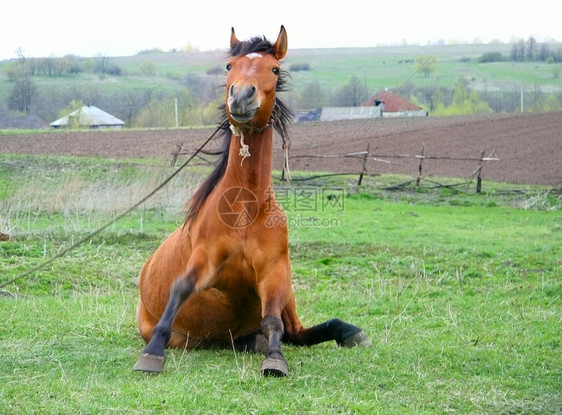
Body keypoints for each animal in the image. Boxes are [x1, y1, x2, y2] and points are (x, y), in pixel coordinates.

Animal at [131, 26, 368, 376]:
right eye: (230, 66)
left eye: (275, 69)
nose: (241, 96)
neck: (244, 210)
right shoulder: (204, 261)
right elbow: (180, 289)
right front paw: (152, 353)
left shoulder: (275, 271)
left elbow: (272, 321)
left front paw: (275, 359)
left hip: (288, 294)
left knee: (296, 331)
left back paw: (347, 332)